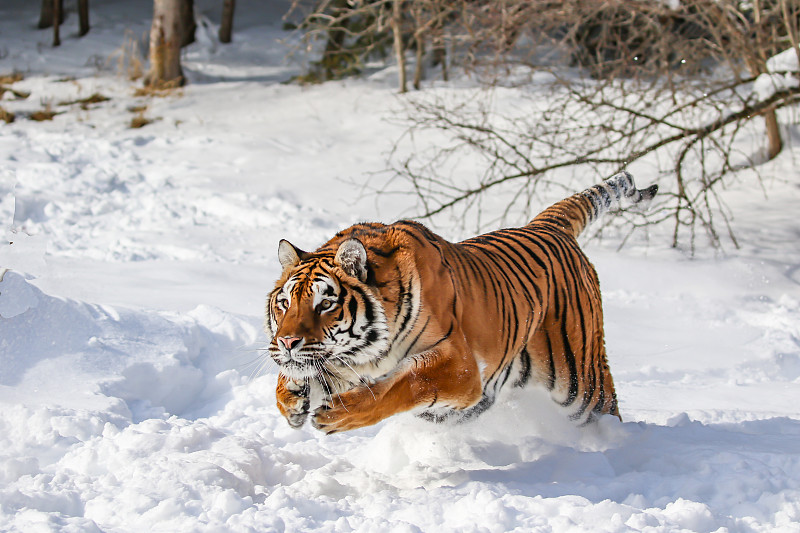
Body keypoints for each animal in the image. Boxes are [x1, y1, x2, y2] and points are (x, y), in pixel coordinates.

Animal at [262, 170, 656, 432]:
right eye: (284, 303)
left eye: (325, 304)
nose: (287, 342)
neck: (365, 355)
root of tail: (548, 225)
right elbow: (293, 378)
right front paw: (291, 400)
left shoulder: (460, 366)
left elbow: (406, 382)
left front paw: (339, 413)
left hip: (580, 381)